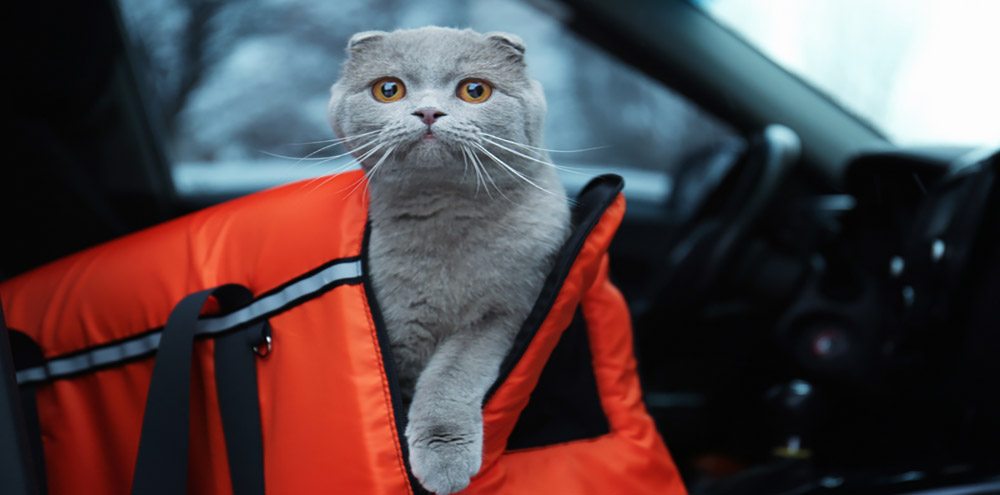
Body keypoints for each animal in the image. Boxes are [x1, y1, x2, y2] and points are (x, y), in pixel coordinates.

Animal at [330, 28, 572, 495]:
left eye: (475, 90)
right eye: (388, 89)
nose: (428, 111)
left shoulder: (505, 311)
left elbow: (451, 373)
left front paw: (443, 458)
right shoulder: (398, 327)